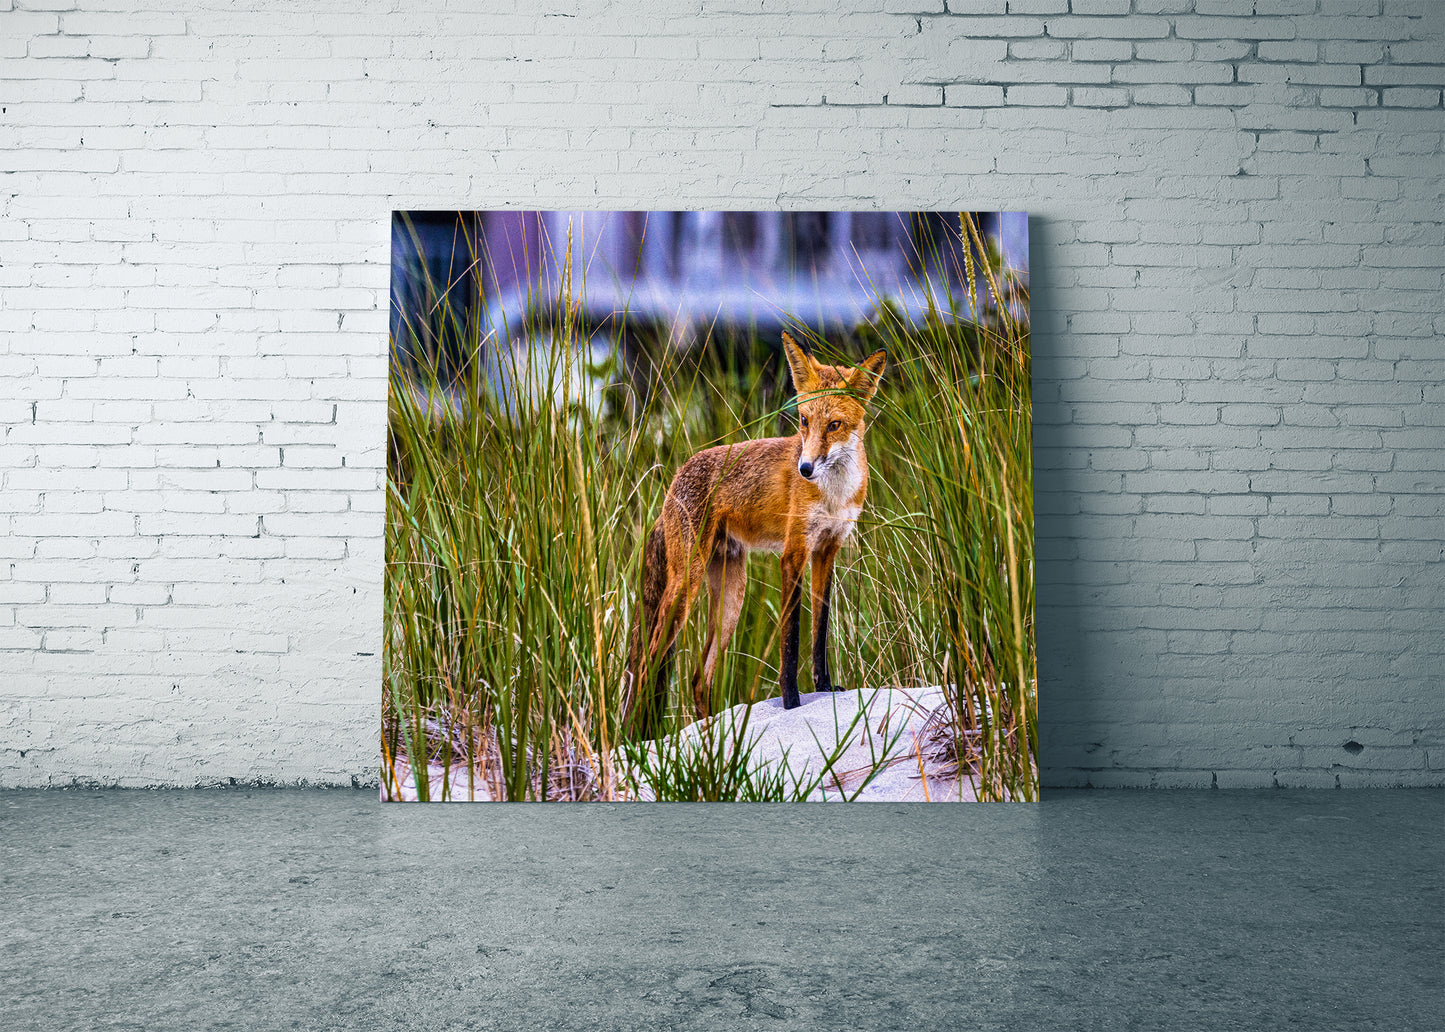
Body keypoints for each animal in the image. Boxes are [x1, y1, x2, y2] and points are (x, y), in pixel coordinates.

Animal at [623, 331, 887, 738]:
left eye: (835, 425)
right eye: (804, 421)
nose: (805, 468)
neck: (834, 493)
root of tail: (671, 484)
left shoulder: (827, 550)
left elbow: (820, 630)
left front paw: (826, 687)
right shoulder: (794, 552)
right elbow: (791, 639)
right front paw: (791, 703)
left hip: (732, 596)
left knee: (699, 677)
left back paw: (710, 737)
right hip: (686, 586)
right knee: (647, 667)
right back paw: (643, 739)